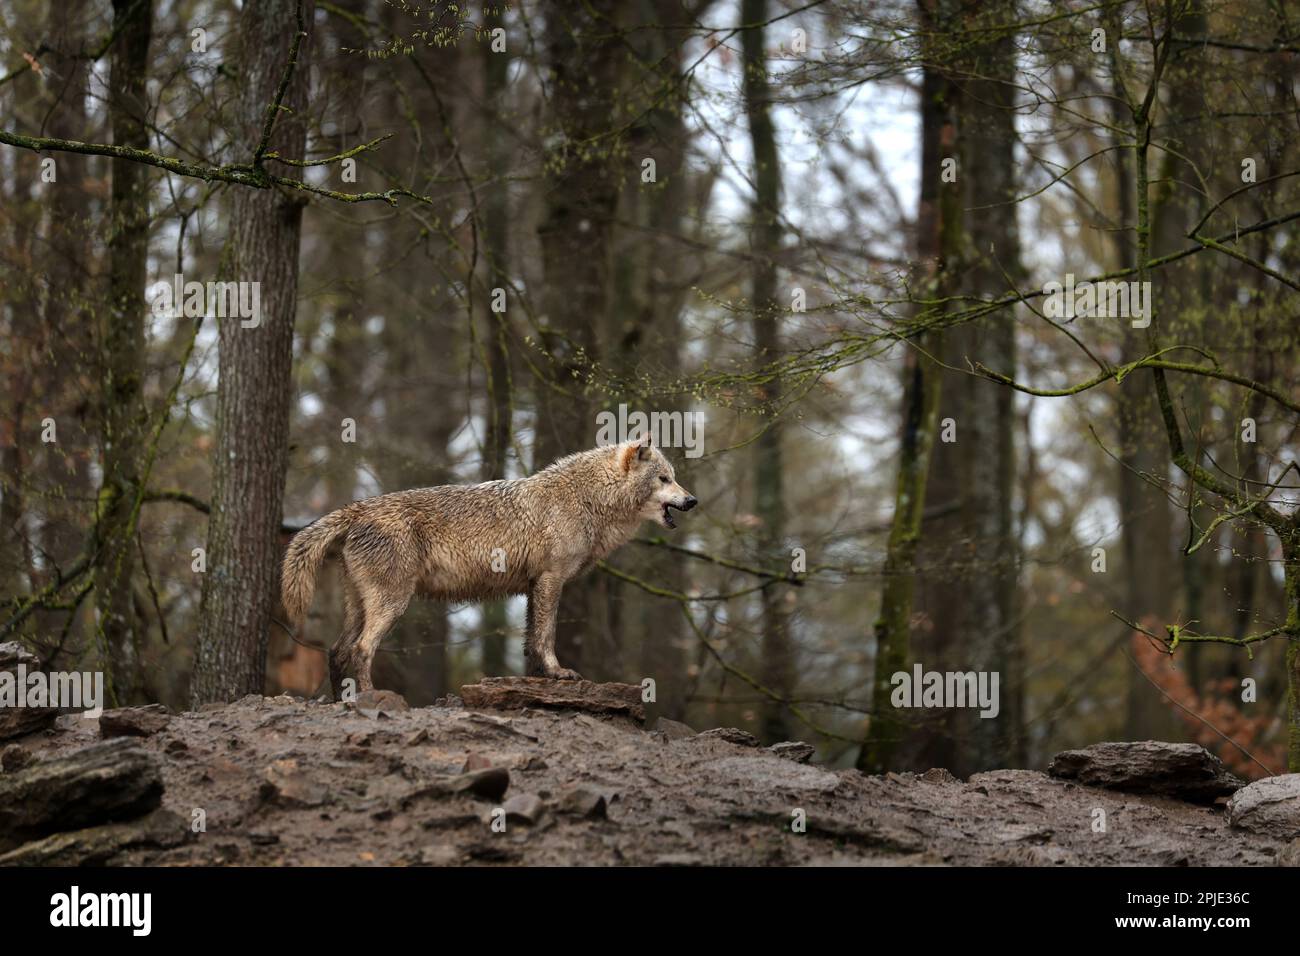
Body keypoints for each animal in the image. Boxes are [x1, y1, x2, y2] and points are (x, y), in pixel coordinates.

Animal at [280, 435, 697, 696]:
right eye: (664, 478)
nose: (692, 500)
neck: (587, 499)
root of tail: (355, 508)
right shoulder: (551, 579)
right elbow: (547, 637)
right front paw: (558, 673)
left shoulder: (534, 585)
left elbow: (531, 640)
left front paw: (540, 679)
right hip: (392, 603)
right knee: (362, 649)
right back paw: (371, 696)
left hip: (360, 605)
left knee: (337, 651)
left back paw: (343, 701)